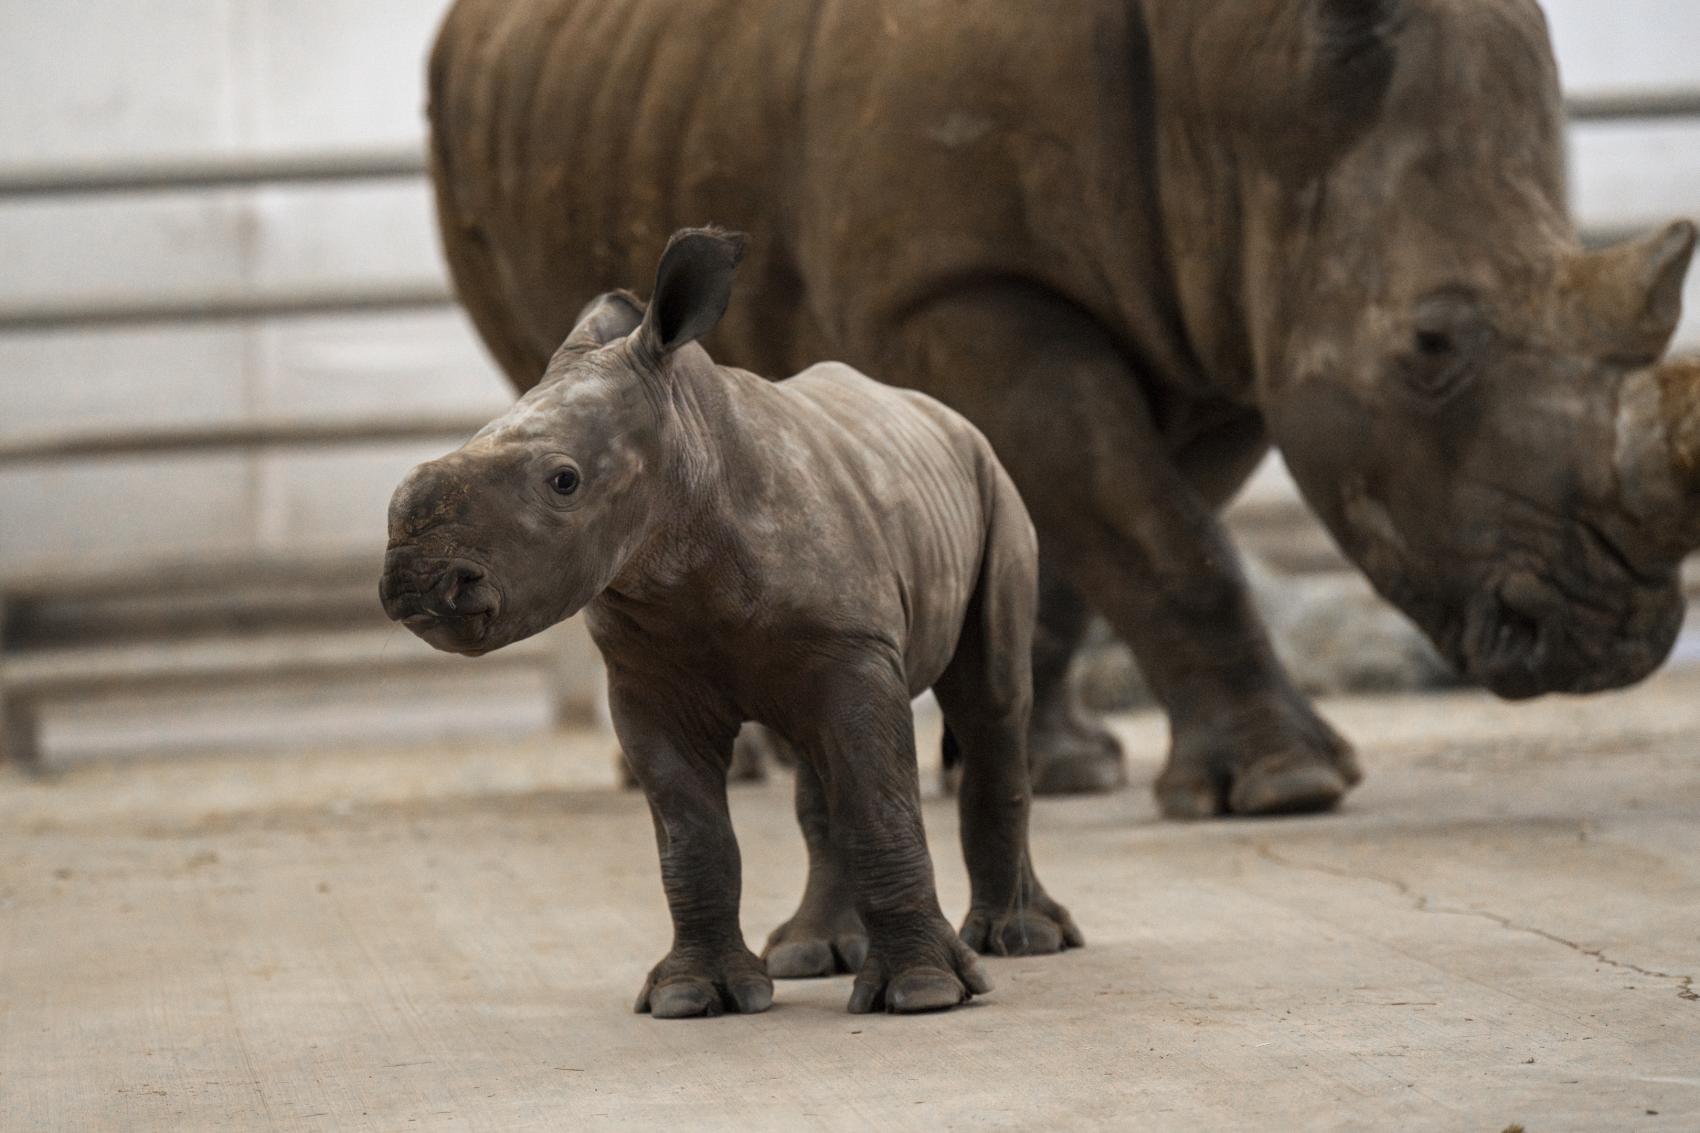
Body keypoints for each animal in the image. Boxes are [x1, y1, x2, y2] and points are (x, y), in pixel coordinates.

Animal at [381, 229, 1079, 1014]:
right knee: (822, 758)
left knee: (991, 703)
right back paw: (810, 954)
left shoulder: (851, 646)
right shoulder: (647, 679)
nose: (416, 583)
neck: (687, 467)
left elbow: (879, 802)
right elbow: (691, 834)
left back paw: (1021, 941)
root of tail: (946, 416)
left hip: (996, 490)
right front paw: (693, 996)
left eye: (564, 482)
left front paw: (924, 992)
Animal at [426, 0, 1698, 818]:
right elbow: (1164, 538)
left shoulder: (1218, 313)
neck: (1239, 79)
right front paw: (1288, 787)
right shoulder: (966, 280)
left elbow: (1095, 536)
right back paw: (712, 770)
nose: (1611, 641)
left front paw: (1046, 762)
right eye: (1430, 348)